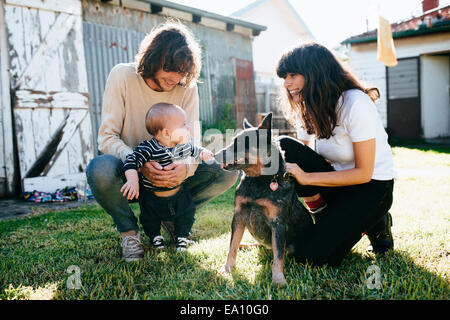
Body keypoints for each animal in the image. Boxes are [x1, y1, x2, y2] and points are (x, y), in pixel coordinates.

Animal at [214, 113, 312, 288]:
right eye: (232, 141)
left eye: (240, 143)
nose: (215, 154)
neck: (260, 181)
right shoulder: (238, 215)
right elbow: (232, 246)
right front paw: (227, 269)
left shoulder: (278, 223)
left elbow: (278, 255)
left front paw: (278, 279)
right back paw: (245, 245)